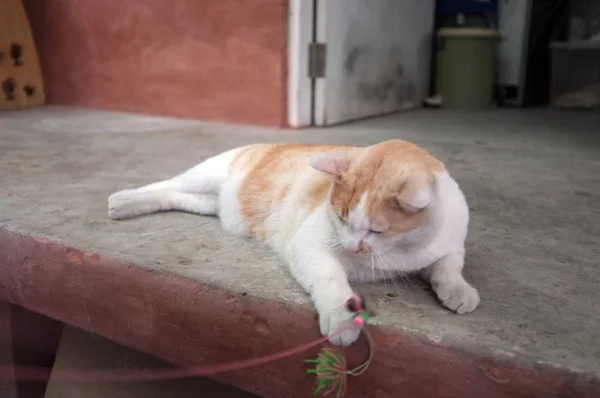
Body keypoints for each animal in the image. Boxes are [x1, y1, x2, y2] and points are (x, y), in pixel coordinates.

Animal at [108, 140, 480, 346]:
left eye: (375, 231)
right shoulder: (310, 245)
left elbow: (449, 265)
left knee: (172, 195)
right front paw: (341, 316)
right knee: (166, 183)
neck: (402, 253)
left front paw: (458, 290)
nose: (352, 246)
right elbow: (331, 278)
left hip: (204, 202)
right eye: (341, 218)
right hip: (206, 176)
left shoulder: (448, 244)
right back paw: (123, 200)